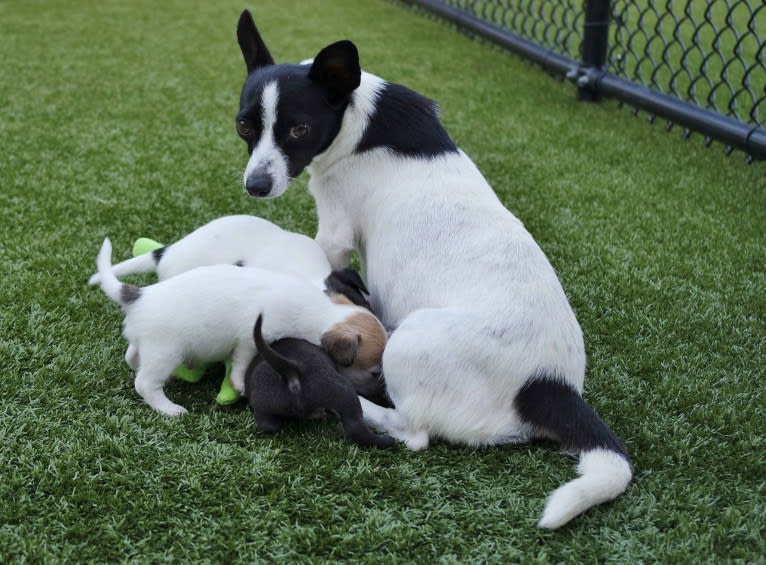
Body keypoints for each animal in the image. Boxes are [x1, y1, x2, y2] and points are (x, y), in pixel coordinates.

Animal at [93, 236, 388, 416]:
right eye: (375, 372)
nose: (378, 395)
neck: (322, 310)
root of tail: (139, 297)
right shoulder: (251, 336)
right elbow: (241, 361)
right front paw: (238, 383)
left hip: (146, 344)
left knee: (131, 356)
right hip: (165, 352)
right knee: (144, 384)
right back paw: (169, 408)